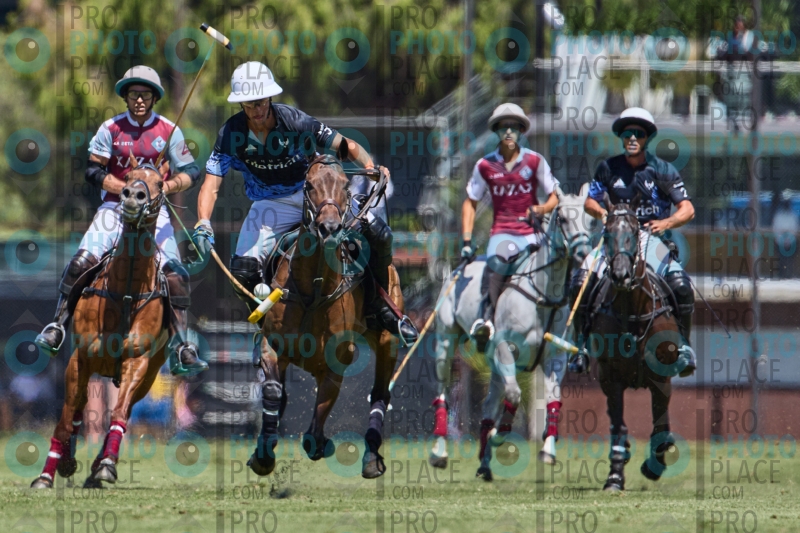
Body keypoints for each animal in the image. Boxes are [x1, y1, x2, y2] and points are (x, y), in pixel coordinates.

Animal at [31, 157, 172, 489]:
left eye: (159, 183)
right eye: (129, 177)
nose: (133, 197)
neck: (126, 290)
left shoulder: (137, 362)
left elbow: (118, 413)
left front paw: (106, 464)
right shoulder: (80, 358)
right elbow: (65, 419)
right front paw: (46, 474)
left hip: (150, 374)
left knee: (125, 409)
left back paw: (97, 466)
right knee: (76, 409)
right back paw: (65, 460)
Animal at [246, 152, 400, 479]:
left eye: (345, 185)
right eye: (308, 185)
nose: (329, 227)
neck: (314, 290)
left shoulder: (337, 359)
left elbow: (314, 435)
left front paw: (324, 444)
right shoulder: (272, 344)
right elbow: (273, 390)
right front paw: (263, 455)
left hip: (387, 339)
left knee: (380, 393)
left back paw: (372, 458)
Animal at [429, 185, 591, 479]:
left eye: (589, 218)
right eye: (562, 218)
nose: (582, 252)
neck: (542, 296)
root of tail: (460, 267)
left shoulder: (556, 357)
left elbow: (554, 399)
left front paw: (547, 450)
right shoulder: (506, 348)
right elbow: (514, 395)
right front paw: (499, 436)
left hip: (491, 363)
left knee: (488, 405)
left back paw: (484, 463)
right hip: (446, 342)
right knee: (442, 392)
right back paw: (440, 452)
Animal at [588, 199, 685, 491]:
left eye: (633, 231)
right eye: (607, 232)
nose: (620, 275)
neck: (632, 312)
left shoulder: (661, 377)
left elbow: (661, 426)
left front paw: (654, 465)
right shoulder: (610, 377)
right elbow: (618, 426)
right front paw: (615, 476)